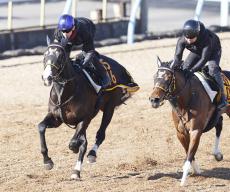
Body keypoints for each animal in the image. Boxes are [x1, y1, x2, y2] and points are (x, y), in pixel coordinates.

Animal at [38, 42, 138, 180]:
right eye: (45, 55)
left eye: (60, 57)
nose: (46, 77)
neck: (66, 91)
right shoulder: (56, 118)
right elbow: (41, 127)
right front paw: (47, 161)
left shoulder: (85, 118)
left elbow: (75, 143)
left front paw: (74, 149)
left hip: (109, 108)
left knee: (100, 135)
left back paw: (88, 158)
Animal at [149, 57, 230, 186]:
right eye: (154, 76)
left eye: (168, 77)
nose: (154, 99)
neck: (186, 100)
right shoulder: (180, 133)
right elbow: (188, 151)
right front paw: (196, 170)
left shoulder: (196, 130)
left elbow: (190, 154)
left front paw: (183, 180)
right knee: (219, 125)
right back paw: (217, 154)